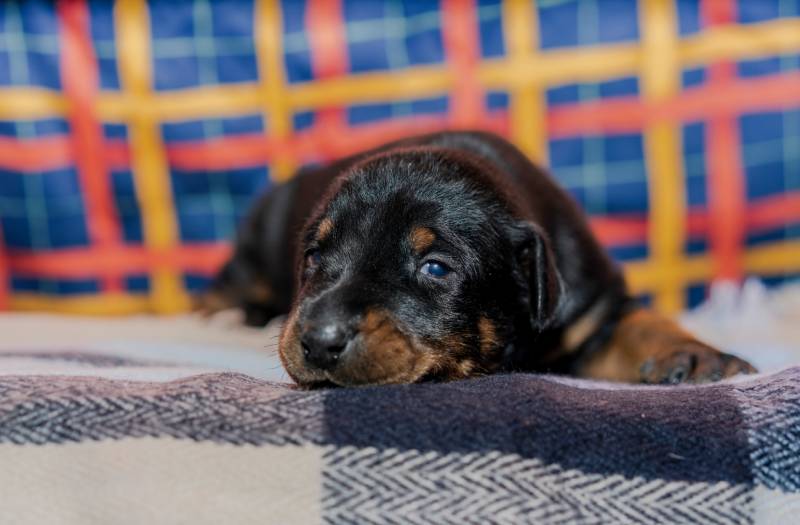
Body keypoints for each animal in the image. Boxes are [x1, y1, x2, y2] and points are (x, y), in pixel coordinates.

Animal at [202, 131, 756, 384]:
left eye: (436, 268)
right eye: (315, 257)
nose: (318, 341)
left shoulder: (593, 305)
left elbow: (642, 323)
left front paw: (696, 356)